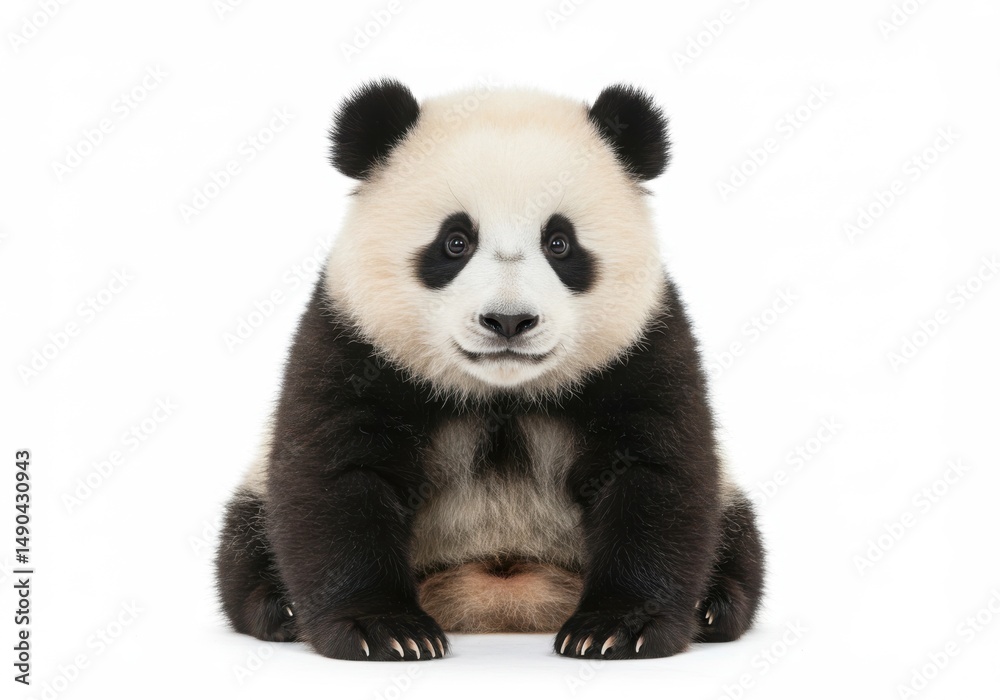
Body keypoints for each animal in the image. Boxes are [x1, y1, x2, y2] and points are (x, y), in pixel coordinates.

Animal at [214, 79, 765, 662]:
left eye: (559, 242)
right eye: (455, 241)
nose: (509, 320)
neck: (502, 393)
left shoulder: (642, 348)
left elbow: (656, 475)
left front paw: (616, 629)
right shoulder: (353, 343)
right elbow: (338, 477)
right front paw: (385, 630)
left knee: (738, 539)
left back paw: (714, 606)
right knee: (244, 542)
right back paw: (281, 607)